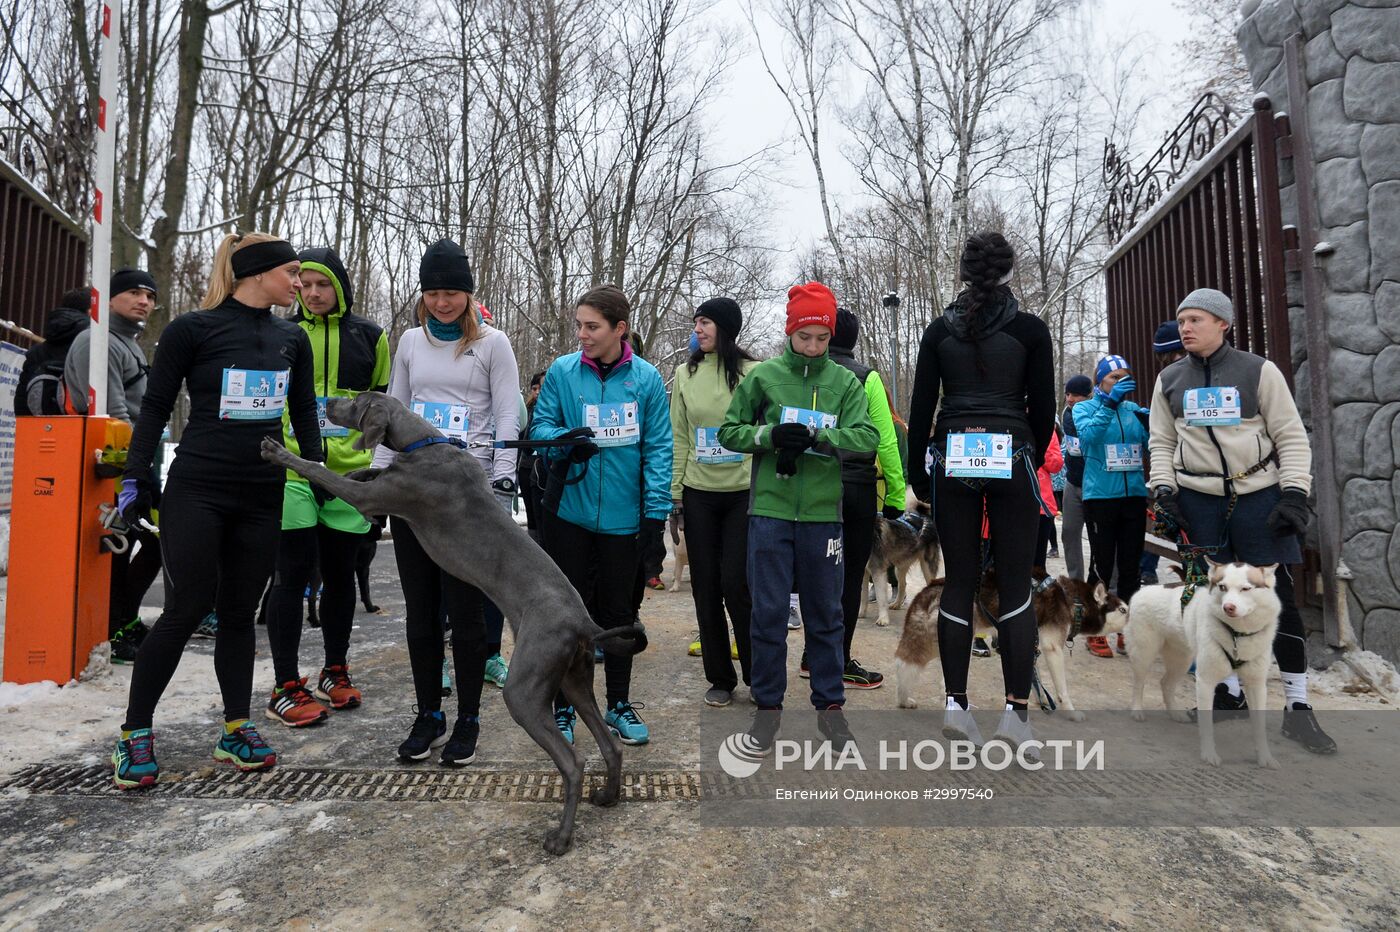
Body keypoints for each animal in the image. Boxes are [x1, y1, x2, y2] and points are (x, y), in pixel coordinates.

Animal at [261, 389, 644, 850]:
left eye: (355, 403)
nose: (328, 402)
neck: (424, 443)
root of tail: (585, 623)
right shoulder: (386, 482)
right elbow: (369, 472)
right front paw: (358, 468)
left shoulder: (387, 496)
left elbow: (324, 473)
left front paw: (280, 452)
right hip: (574, 678)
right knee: (610, 746)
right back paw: (608, 796)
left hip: (525, 688)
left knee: (573, 761)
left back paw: (561, 838)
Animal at [896, 565, 1125, 710]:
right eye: (1123, 610)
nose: (1132, 617)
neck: (1073, 600)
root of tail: (930, 588)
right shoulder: (1052, 647)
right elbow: (1062, 688)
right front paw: (1070, 710)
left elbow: (1032, 676)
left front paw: (1039, 699)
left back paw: (908, 699)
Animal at [1125, 554, 1282, 766]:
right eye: (1223, 587)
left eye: (1246, 588)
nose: (1228, 607)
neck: (1236, 634)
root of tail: (1144, 590)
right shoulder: (1206, 681)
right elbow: (1207, 725)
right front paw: (1209, 753)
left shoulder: (1256, 684)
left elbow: (1259, 727)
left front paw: (1265, 757)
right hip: (1144, 652)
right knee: (1139, 682)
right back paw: (1137, 710)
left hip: (1182, 659)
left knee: (1166, 683)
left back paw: (1175, 713)